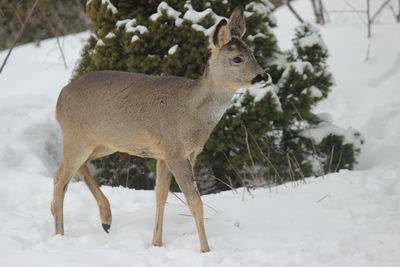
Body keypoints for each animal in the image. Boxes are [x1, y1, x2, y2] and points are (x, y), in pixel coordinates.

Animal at [51, 6, 270, 253]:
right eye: (237, 58)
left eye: (252, 53)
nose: (263, 76)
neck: (191, 111)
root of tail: (59, 98)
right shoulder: (175, 150)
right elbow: (195, 201)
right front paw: (205, 250)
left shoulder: (173, 154)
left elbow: (161, 195)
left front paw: (156, 243)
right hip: (76, 135)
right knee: (60, 180)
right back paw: (60, 235)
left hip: (104, 143)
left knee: (77, 168)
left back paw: (106, 220)